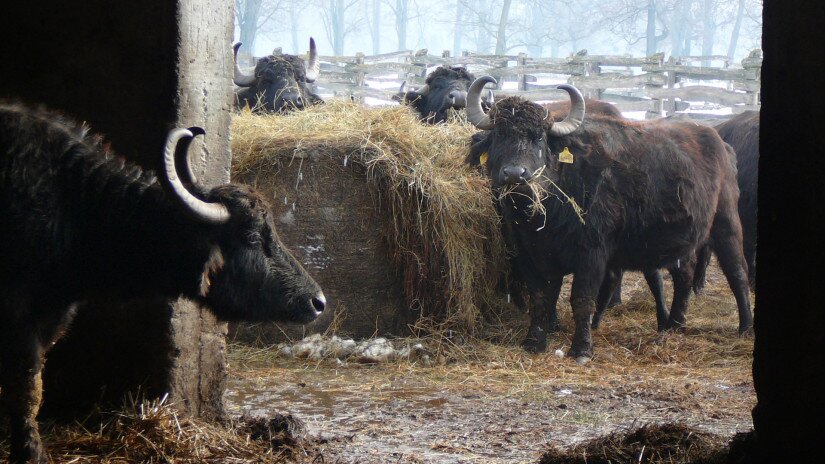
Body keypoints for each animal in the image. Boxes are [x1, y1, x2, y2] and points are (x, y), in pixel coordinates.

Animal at [0, 102, 328, 464]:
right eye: (253, 237)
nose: (318, 302)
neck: (77, 206)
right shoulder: (20, 321)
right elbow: (27, 391)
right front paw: (29, 453)